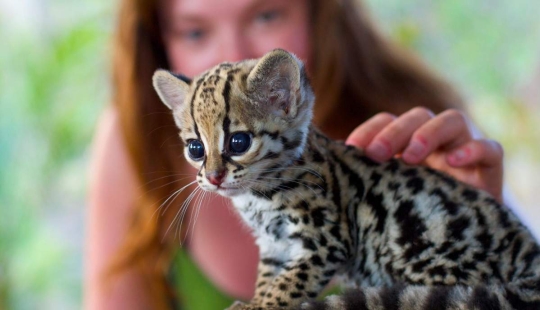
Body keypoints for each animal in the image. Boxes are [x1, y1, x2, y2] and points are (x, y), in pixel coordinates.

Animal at [153, 49, 540, 308]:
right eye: (195, 148)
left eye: (238, 142)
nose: (213, 178)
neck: (257, 198)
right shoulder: (274, 247)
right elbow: (268, 280)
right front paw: (255, 300)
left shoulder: (325, 241)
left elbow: (287, 286)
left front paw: (262, 305)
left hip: (414, 246)